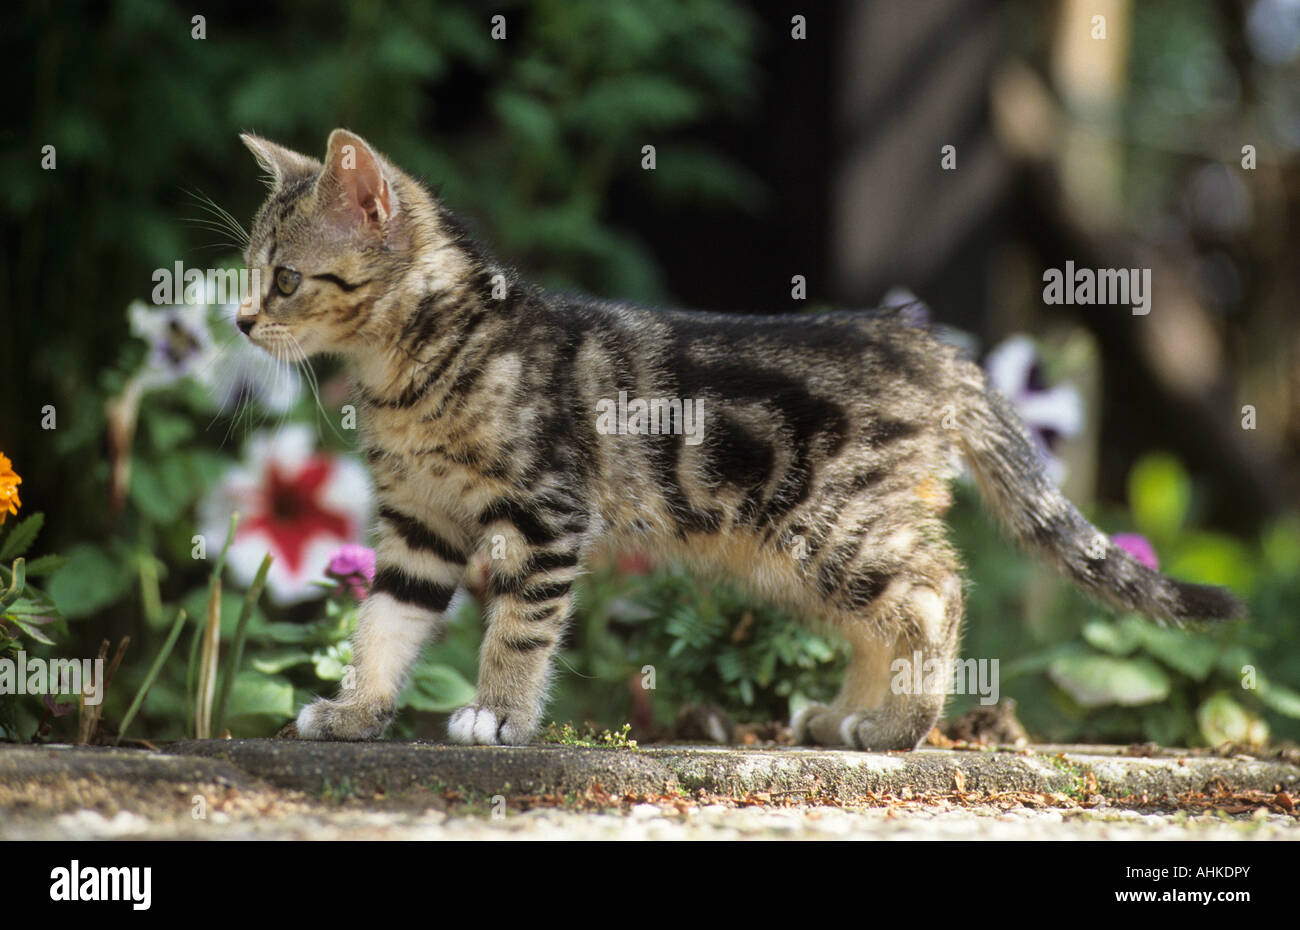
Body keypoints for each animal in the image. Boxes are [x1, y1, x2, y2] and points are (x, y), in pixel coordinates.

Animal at [239, 129, 1242, 749]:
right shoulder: (421, 523)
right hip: (796, 549)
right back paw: (847, 719)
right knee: (881, 618)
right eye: (250, 273)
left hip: (834, 526)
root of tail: (923, 343)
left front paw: (500, 718)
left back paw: (899, 727)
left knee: (935, 591)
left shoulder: (544, 515)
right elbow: (385, 620)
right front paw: (357, 713)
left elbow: (518, 630)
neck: (420, 365)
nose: (243, 321)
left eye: (286, 279)